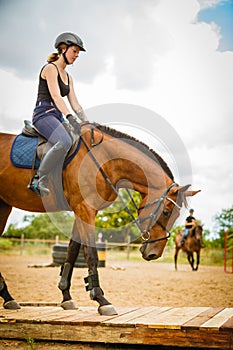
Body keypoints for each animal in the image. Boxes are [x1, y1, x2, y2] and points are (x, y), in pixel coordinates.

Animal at [0, 122, 200, 314]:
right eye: (166, 212)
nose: (154, 254)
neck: (105, 160)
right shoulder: (85, 209)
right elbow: (91, 254)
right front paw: (100, 299)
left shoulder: (82, 210)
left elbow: (72, 251)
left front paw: (66, 297)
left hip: (4, 205)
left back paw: (8, 297)